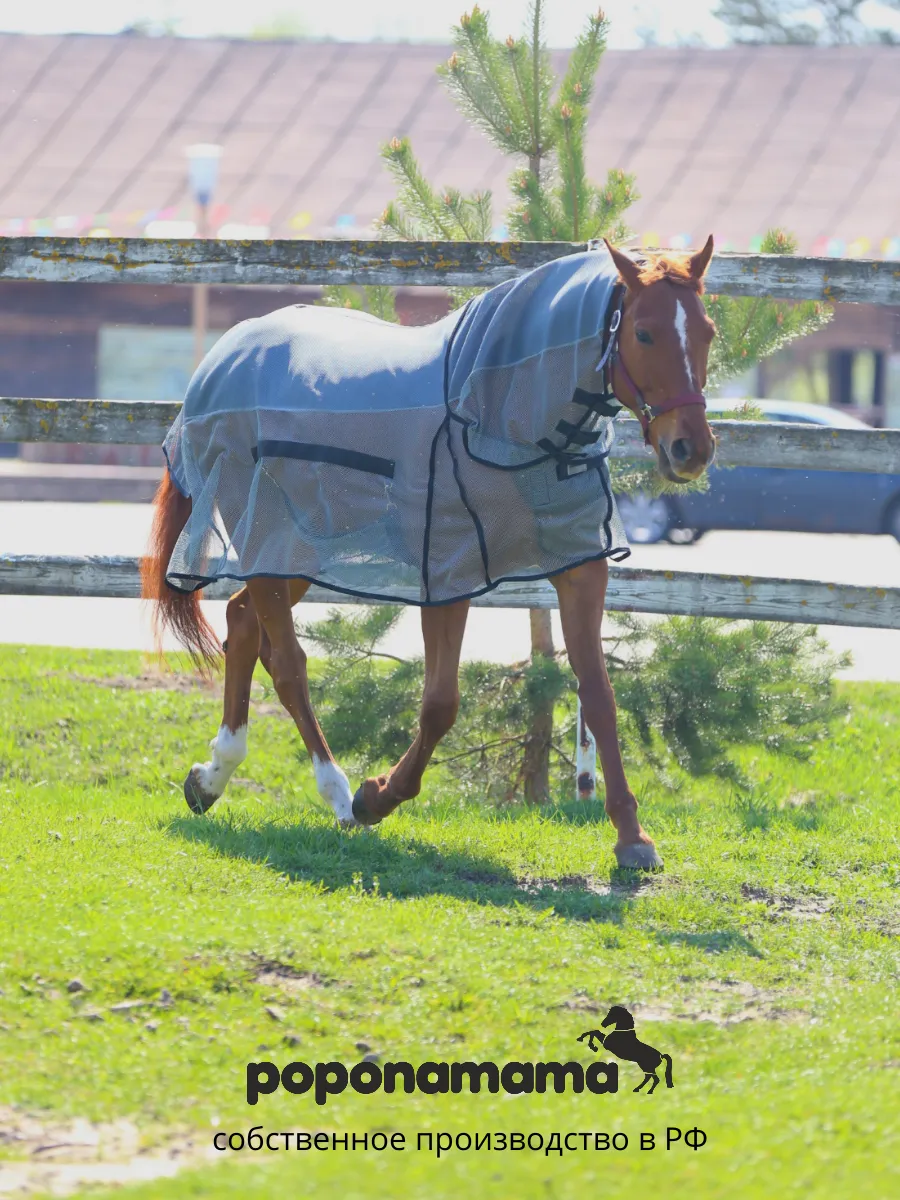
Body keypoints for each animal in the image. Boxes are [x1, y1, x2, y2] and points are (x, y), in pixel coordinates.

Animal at [140, 237, 717, 871]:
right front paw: (376, 797)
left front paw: (632, 836)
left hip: (300, 548)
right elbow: (440, 703)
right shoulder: (447, 573)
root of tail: (221, 359)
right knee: (287, 662)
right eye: (643, 333)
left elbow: (598, 692)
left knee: (242, 621)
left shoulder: (579, 567)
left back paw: (211, 777)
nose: (690, 449)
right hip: (269, 538)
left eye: (707, 331)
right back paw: (336, 793)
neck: (496, 412)